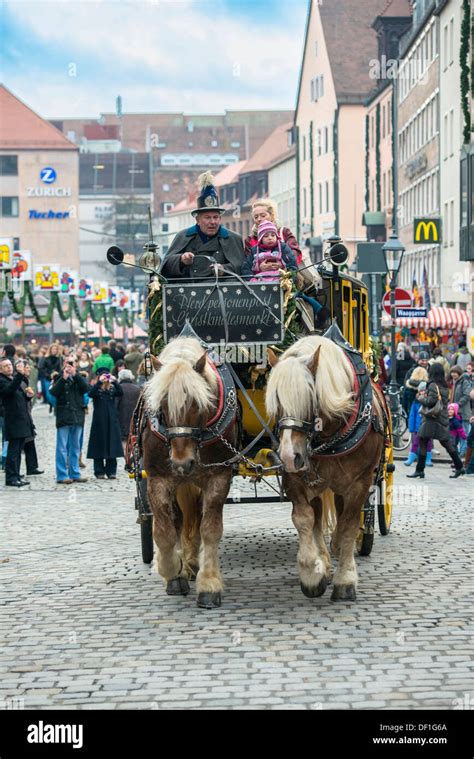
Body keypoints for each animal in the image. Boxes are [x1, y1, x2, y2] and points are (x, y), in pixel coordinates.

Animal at [141, 338, 237, 612]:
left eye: (197, 404)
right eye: (162, 406)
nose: (182, 463)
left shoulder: (218, 477)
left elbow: (210, 529)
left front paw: (209, 584)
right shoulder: (157, 479)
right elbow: (164, 533)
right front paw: (172, 572)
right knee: (179, 522)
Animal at [264, 336, 386, 604]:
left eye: (310, 397)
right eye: (276, 399)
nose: (288, 456)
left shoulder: (360, 482)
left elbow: (349, 524)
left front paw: (345, 580)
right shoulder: (296, 479)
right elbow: (305, 519)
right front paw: (312, 573)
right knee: (318, 517)